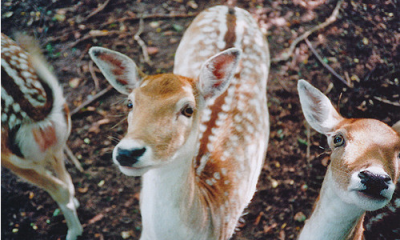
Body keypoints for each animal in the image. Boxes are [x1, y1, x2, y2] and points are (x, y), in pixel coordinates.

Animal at [0, 32, 82, 239]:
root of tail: (34, 113)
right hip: (58, 140)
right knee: (66, 179)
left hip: (11, 158)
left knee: (60, 188)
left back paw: (73, 232)